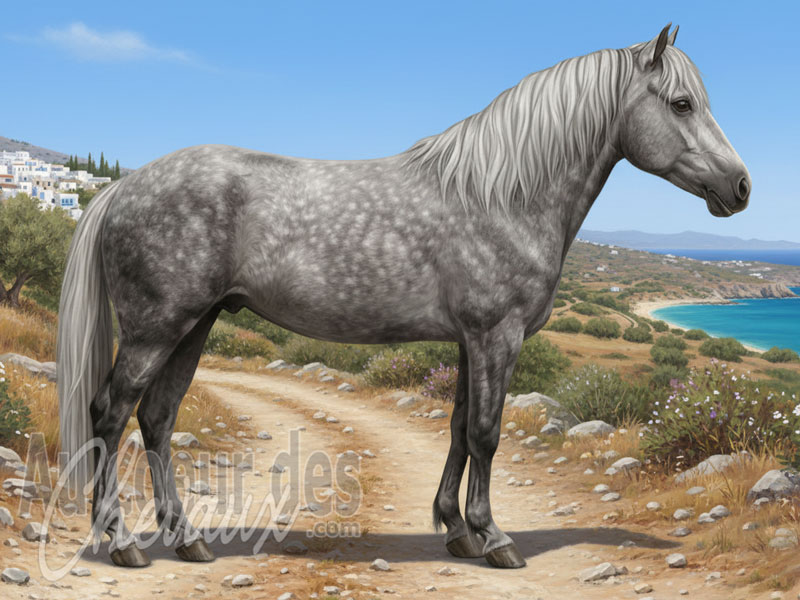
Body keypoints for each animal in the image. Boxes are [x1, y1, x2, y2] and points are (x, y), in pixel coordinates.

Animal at [57, 23, 750, 569]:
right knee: (111, 414)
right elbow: (487, 434)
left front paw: (456, 530)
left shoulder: (472, 341)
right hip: (155, 328)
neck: (503, 196)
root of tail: (122, 188)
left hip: (194, 325)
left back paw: (187, 539)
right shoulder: (497, 335)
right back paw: (122, 542)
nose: (740, 187)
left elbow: (459, 428)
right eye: (682, 104)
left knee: (158, 419)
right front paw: (495, 539)